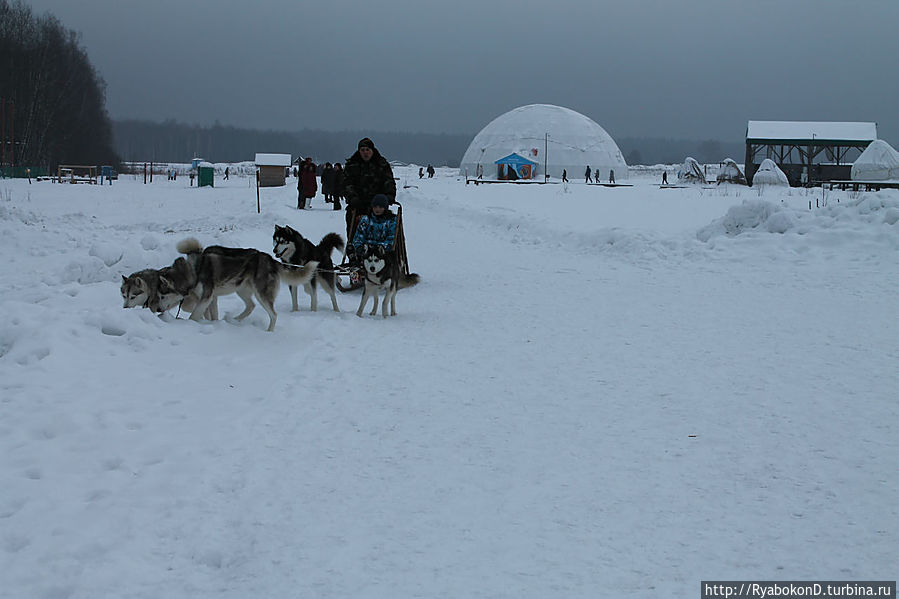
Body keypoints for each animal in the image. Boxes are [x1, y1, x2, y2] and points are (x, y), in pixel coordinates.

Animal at [157, 239, 316, 332]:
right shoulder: (210, 298)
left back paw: (268, 332)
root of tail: (270, 259)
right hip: (242, 289)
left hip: (261, 294)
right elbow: (209, 314)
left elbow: (193, 315)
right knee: (251, 305)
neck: (193, 269)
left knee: (273, 314)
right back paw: (235, 320)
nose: (157, 309)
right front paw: (212, 323)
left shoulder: (206, 296)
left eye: (162, 296)